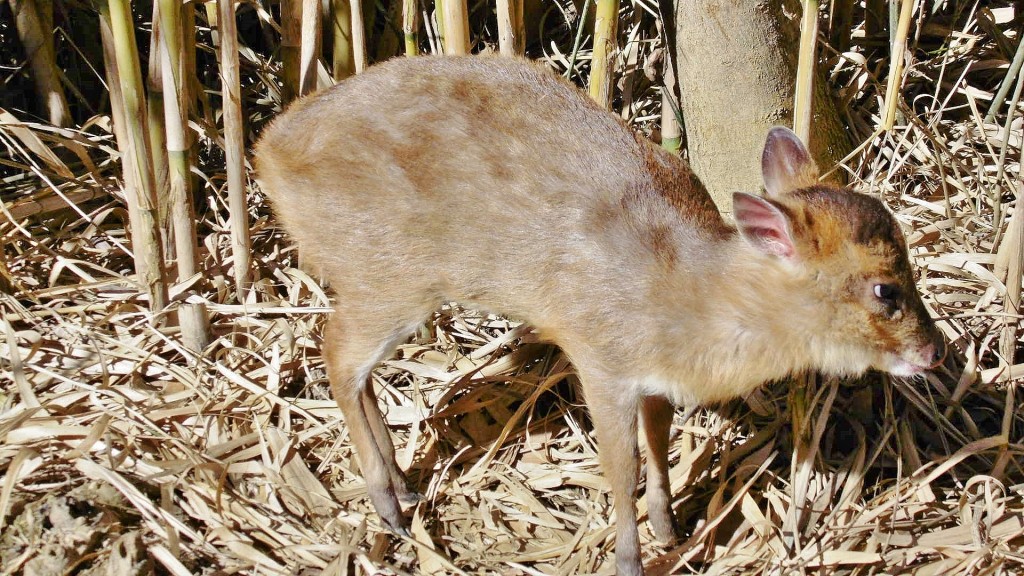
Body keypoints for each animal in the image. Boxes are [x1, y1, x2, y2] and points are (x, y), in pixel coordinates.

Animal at [256, 54, 942, 573]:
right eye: (885, 290)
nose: (934, 352)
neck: (686, 297)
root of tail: (268, 150)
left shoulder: (653, 379)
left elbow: (659, 444)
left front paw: (670, 528)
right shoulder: (601, 358)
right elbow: (621, 467)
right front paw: (631, 559)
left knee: (355, 367)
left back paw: (402, 487)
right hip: (389, 274)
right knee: (336, 353)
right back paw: (387, 504)